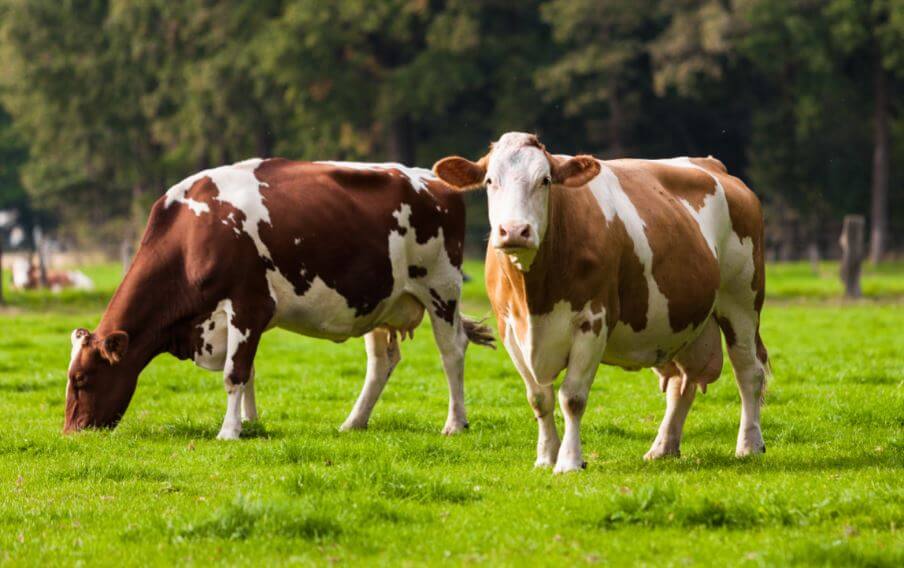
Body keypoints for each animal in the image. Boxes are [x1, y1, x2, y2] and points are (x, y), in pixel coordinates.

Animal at [65, 158, 493, 438]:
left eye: (82, 379)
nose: (71, 432)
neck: (191, 235)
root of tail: (436, 180)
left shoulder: (248, 304)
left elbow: (235, 373)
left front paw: (229, 431)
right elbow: (249, 370)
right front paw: (250, 423)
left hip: (442, 288)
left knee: (452, 351)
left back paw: (455, 423)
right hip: (380, 301)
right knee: (381, 362)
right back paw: (353, 422)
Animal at [433, 132, 769, 473]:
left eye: (545, 180)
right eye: (490, 181)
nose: (514, 230)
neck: (535, 298)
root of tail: (713, 165)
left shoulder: (593, 322)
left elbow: (572, 398)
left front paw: (569, 462)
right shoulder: (510, 329)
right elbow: (539, 398)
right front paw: (546, 457)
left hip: (742, 301)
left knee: (749, 371)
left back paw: (749, 445)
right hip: (680, 321)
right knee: (682, 382)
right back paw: (663, 447)